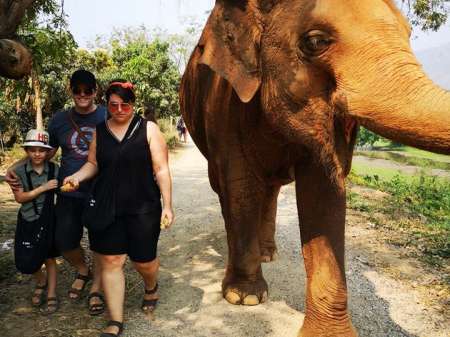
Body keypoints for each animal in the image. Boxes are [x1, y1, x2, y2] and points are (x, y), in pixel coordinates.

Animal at [179, 0, 450, 336]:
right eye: (316, 42)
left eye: (409, 33)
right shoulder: (225, 106)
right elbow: (240, 186)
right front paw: (244, 298)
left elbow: (324, 193)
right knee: (226, 188)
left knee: (269, 190)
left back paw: (268, 253)